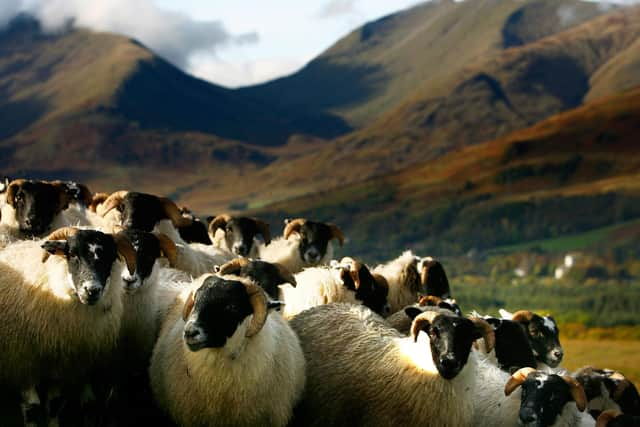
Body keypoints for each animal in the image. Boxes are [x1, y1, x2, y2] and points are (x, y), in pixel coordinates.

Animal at [0, 227, 136, 424]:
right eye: (72, 254)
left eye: (110, 257)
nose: (92, 290)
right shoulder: (22, 363)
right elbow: (33, 409)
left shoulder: (62, 367)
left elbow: (54, 405)